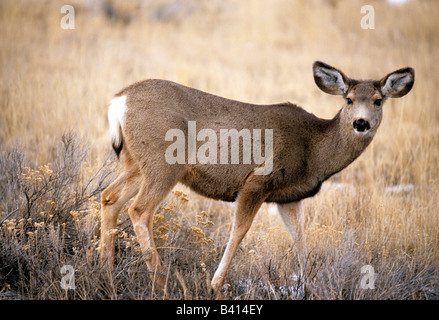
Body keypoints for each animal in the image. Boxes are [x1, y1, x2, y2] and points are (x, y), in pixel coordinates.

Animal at [99, 61, 416, 296]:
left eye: (378, 101)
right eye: (348, 99)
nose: (360, 123)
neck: (313, 149)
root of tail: (118, 101)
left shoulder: (289, 197)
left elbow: (300, 238)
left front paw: (308, 287)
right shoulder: (258, 181)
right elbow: (239, 230)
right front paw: (215, 285)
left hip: (135, 163)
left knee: (109, 197)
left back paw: (106, 275)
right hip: (163, 163)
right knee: (139, 210)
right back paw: (161, 284)